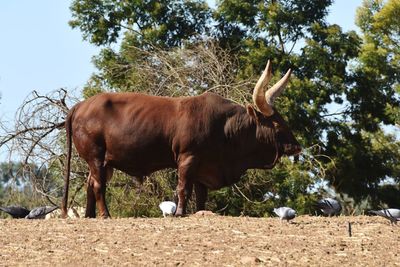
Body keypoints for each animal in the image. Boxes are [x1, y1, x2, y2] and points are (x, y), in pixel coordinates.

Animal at [61, 60, 300, 218]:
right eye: (276, 124)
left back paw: (90, 216)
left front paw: (200, 212)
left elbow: (201, 195)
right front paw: (180, 213)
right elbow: (183, 188)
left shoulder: (205, 166)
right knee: (98, 185)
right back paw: (105, 215)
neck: (225, 127)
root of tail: (80, 106)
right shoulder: (188, 158)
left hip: (104, 163)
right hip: (96, 157)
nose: (296, 146)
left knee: (90, 184)